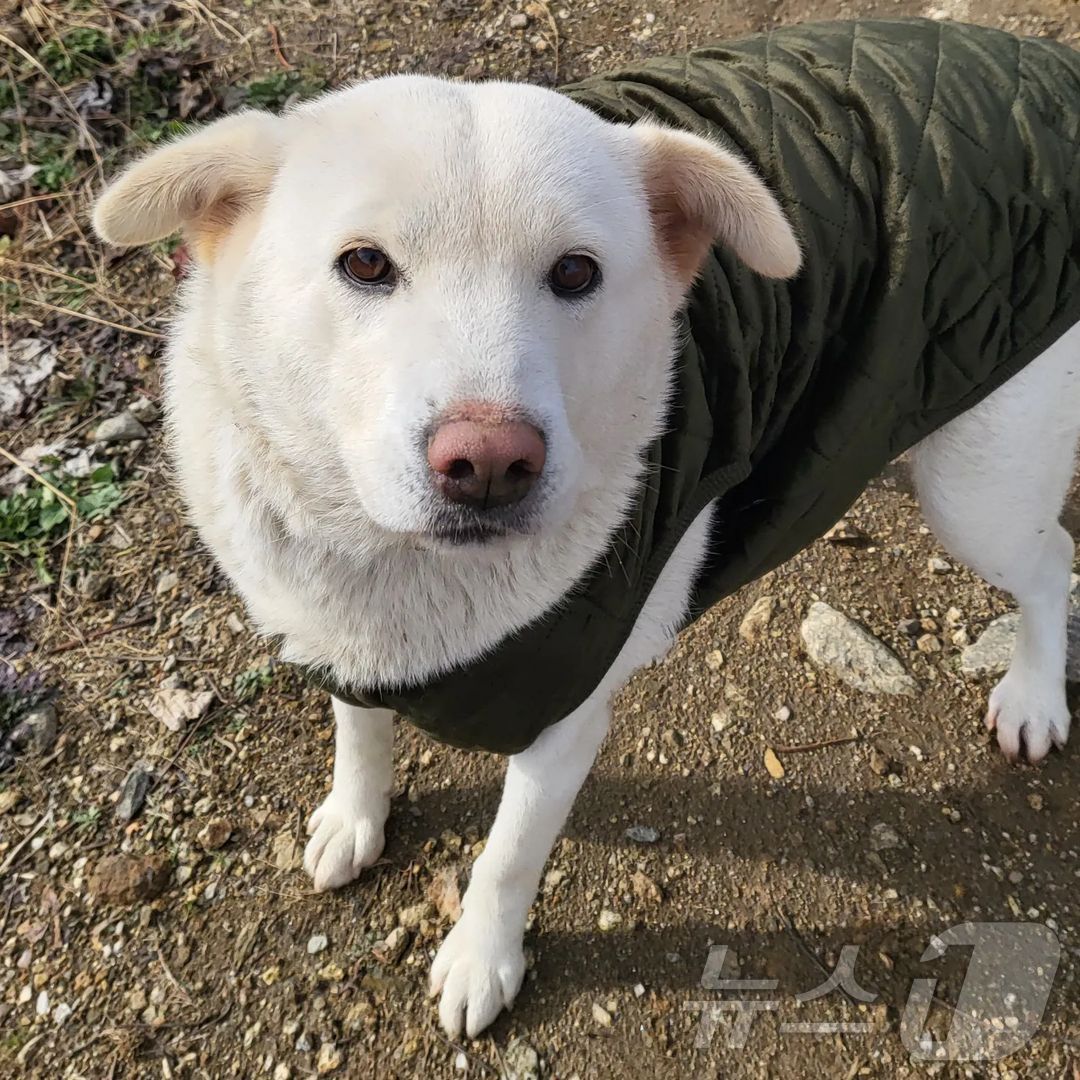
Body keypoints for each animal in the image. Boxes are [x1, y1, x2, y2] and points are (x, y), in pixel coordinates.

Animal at [95, 19, 1080, 1036]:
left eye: (576, 273)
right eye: (363, 263)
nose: (490, 463)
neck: (400, 569)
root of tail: (1041, 64)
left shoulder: (563, 720)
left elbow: (506, 859)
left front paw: (481, 959)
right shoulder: (340, 632)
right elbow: (359, 731)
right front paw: (355, 816)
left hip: (977, 487)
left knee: (1055, 562)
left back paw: (1035, 695)